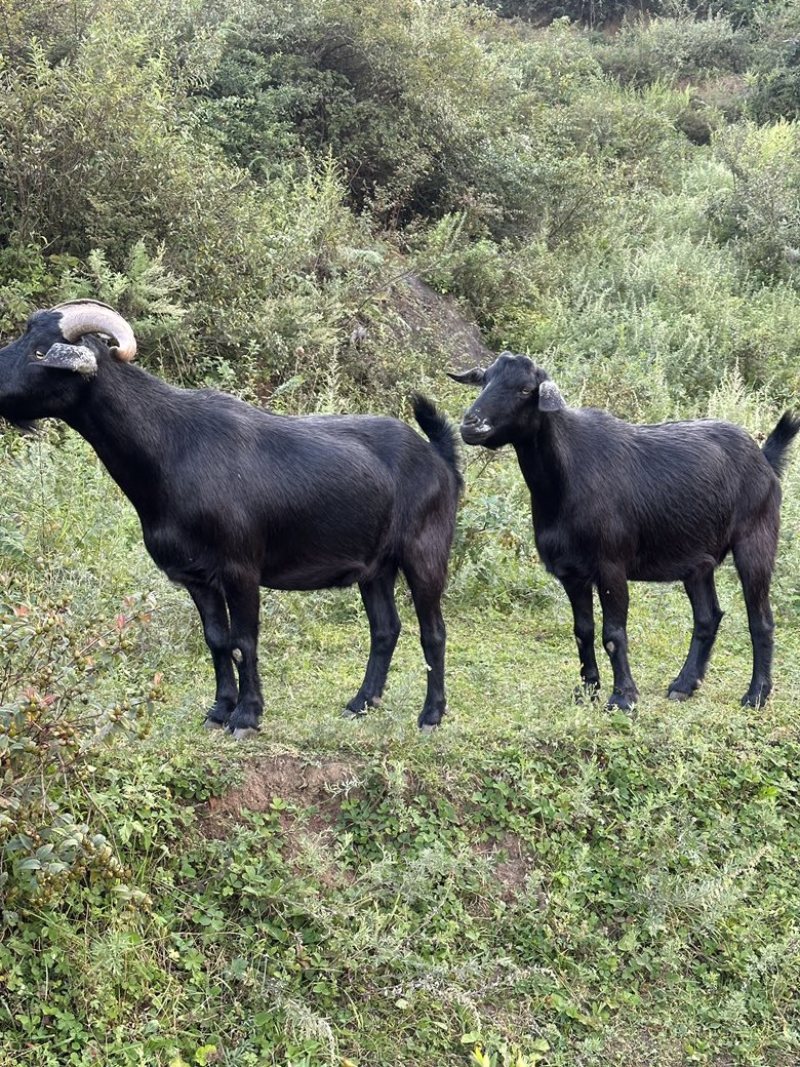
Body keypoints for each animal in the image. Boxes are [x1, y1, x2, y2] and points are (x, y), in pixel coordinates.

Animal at [0, 300, 462, 734]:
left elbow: (244, 641)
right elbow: (217, 641)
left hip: (425, 553)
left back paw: (431, 715)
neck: (173, 448)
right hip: (375, 568)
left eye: (40, 350)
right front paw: (219, 711)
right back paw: (361, 703)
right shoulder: (195, 576)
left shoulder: (241, 569)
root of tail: (437, 456)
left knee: (433, 631)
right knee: (385, 629)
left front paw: (247, 716)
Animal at [454, 354, 797, 712]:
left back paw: (756, 694)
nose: (471, 425)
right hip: (697, 560)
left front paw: (622, 698)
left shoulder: (611, 566)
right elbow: (583, 631)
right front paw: (587, 691)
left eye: (524, 389)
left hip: (756, 538)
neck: (564, 478)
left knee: (761, 619)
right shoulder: (571, 572)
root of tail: (765, 460)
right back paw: (684, 685)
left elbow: (613, 634)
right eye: (485, 381)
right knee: (708, 617)